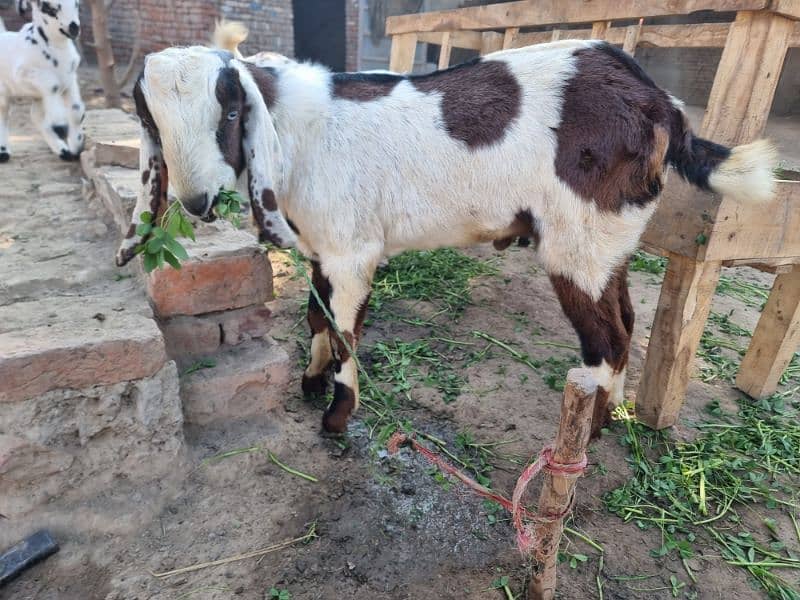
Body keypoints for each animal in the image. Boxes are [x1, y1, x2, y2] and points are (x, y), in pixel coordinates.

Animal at [0, 0, 85, 162]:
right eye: (48, 8)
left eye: (77, 4)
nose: (74, 27)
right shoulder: (23, 74)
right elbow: (52, 84)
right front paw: (60, 126)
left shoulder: (70, 80)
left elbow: (77, 111)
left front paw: (76, 148)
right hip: (4, 91)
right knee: (3, 114)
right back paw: (3, 153)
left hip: (37, 97)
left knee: (35, 116)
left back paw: (63, 151)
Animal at [119, 24, 776, 436]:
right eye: (152, 121)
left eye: (230, 112)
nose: (197, 201)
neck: (298, 131)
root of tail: (662, 104)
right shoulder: (321, 248)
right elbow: (315, 318)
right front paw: (309, 382)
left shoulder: (352, 252)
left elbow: (346, 332)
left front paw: (336, 419)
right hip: (605, 241)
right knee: (626, 319)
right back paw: (609, 416)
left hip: (577, 241)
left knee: (607, 341)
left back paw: (584, 440)